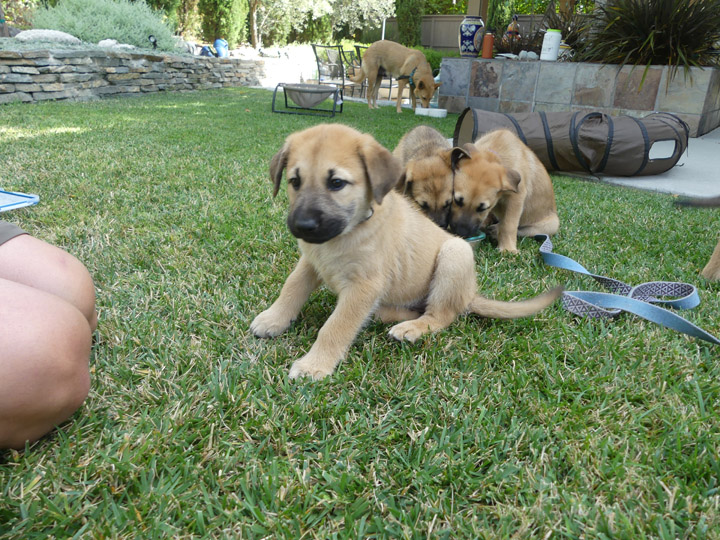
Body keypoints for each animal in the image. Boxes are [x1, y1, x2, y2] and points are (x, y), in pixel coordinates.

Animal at [250, 123, 564, 380]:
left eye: (336, 183)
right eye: (294, 181)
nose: (302, 226)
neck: (350, 232)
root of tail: (470, 294)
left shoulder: (364, 286)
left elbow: (335, 326)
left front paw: (315, 365)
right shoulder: (311, 262)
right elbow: (291, 288)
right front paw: (273, 319)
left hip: (454, 253)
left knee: (441, 315)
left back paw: (411, 328)